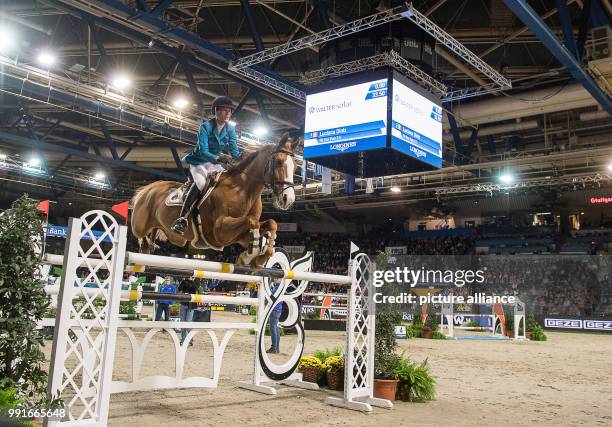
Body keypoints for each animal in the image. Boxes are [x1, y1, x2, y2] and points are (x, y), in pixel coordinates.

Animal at [131, 135, 298, 268]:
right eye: (278, 161)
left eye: (296, 166)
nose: (288, 199)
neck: (243, 191)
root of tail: (148, 188)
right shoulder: (219, 232)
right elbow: (252, 221)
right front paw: (250, 255)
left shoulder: (237, 236)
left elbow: (271, 223)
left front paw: (257, 258)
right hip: (139, 225)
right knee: (139, 233)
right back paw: (146, 244)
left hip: (169, 233)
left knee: (154, 233)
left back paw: (149, 246)